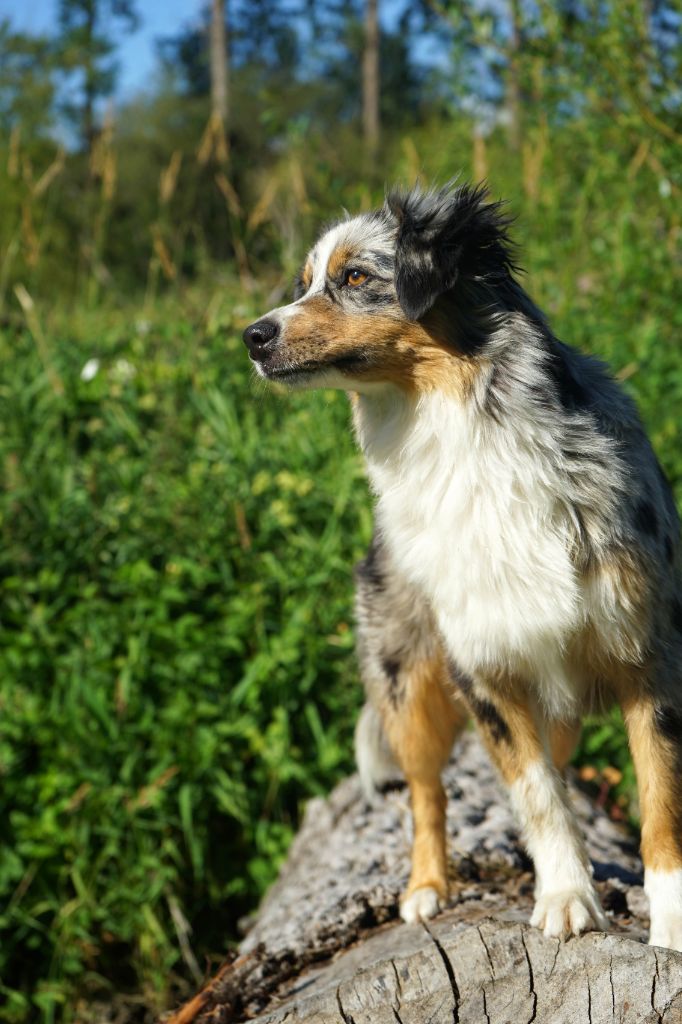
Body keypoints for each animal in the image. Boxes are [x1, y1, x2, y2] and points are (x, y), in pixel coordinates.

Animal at [242, 182, 679, 950]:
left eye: (355, 277)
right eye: (303, 285)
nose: (253, 336)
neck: (462, 427)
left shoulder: (649, 653)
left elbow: (660, 801)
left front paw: (671, 920)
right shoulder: (486, 667)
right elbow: (536, 795)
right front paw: (566, 896)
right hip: (407, 689)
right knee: (426, 793)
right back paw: (426, 887)